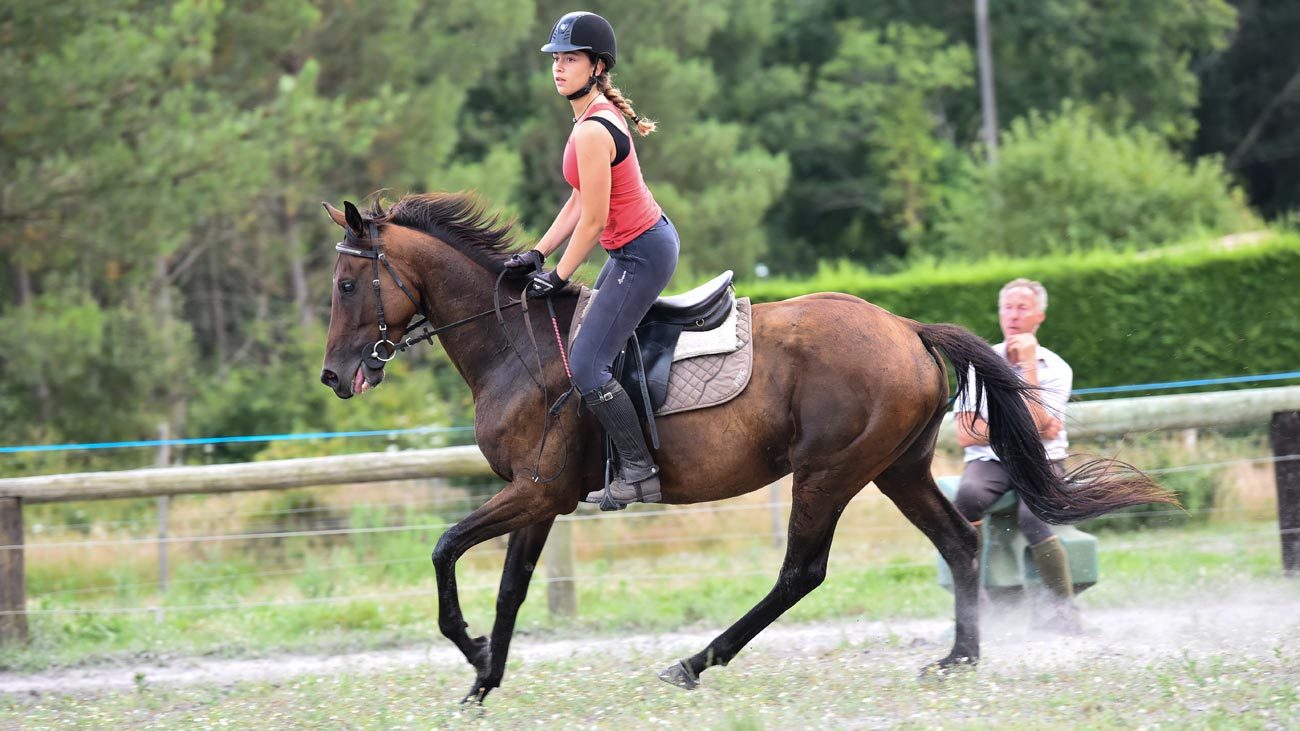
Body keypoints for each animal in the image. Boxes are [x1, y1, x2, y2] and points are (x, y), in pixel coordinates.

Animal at [319, 192, 1175, 702]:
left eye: (347, 286)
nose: (333, 375)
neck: (512, 342)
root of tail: (905, 326)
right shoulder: (538, 498)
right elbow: (509, 587)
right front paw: (484, 676)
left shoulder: (536, 490)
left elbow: (444, 545)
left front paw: (466, 651)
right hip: (894, 468)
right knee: (961, 543)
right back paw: (959, 658)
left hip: (828, 471)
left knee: (801, 571)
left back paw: (696, 661)